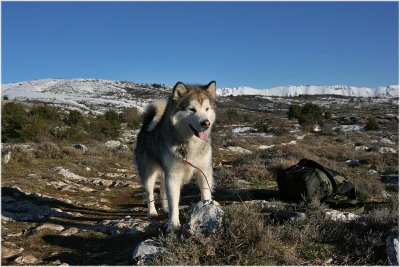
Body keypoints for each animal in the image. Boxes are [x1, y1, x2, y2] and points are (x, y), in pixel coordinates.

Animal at [134, 81, 216, 232]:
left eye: (207, 108)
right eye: (192, 109)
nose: (206, 123)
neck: (189, 143)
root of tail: (144, 128)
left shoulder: (204, 171)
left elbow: (205, 193)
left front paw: (207, 211)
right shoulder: (173, 175)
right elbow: (174, 202)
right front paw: (173, 225)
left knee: (162, 189)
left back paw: (165, 208)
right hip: (149, 173)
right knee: (150, 193)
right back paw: (152, 211)